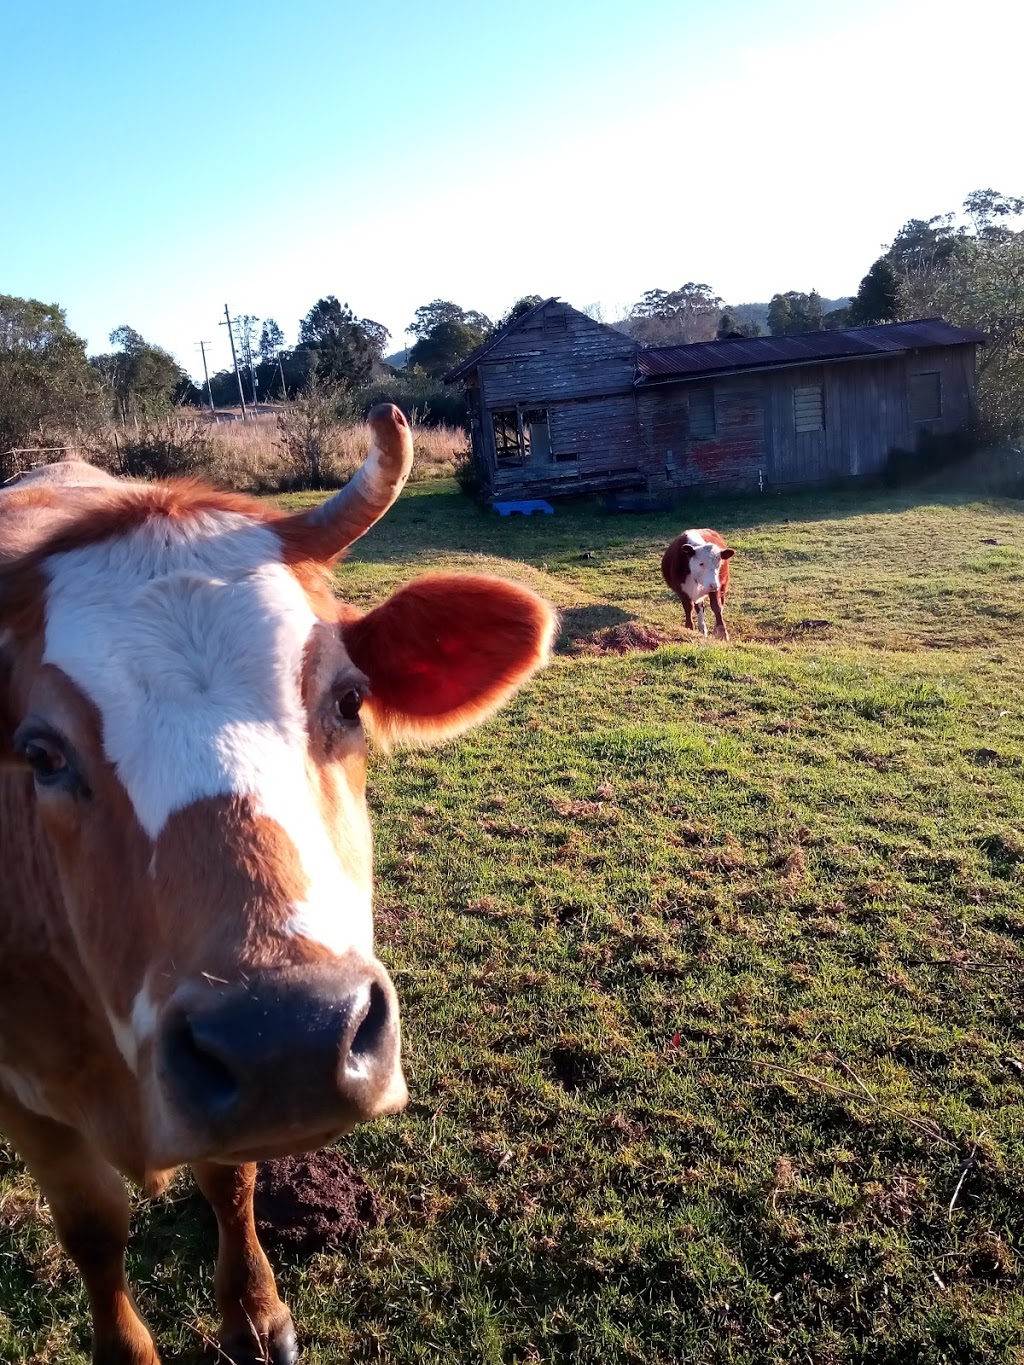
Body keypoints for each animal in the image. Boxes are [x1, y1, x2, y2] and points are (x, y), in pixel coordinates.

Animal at [0, 404, 557, 1365]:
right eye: (41, 752)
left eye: (349, 700)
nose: (286, 1036)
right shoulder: (20, 1094)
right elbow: (93, 1225)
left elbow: (230, 1182)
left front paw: (256, 1316)